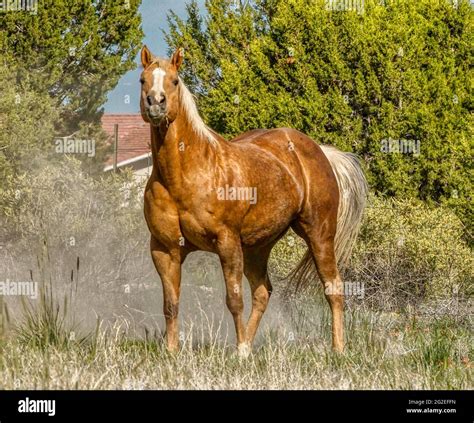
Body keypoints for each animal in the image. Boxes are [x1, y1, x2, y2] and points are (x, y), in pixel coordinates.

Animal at [139, 46, 368, 358]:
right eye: (142, 80)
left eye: (174, 81)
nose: (155, 104)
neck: (184, 176)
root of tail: (320, 151)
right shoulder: (165, 249)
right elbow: (170, 304)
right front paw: (172, 352)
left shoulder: (227, 242)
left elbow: (234, 300)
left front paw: (238, 354)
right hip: (258, 247)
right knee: (262, 292)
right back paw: (249, 345)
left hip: (319, 234)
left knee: (333, 288)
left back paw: (338, 348)